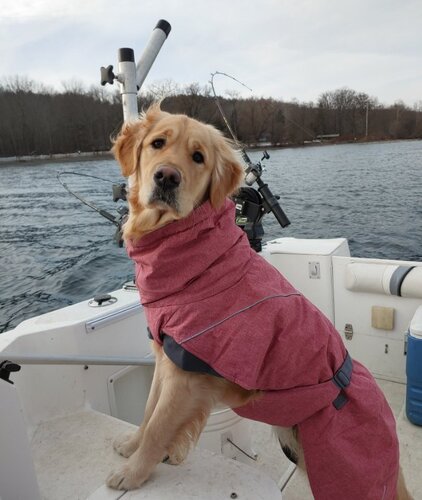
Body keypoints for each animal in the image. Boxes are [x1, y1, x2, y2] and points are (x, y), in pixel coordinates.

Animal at [107, 104, 411, 499]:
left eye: (198, 157)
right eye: (157, 143)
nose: (167, 177)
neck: (199, 260)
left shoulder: (186, 375)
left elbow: (159, 425)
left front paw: (133, 474)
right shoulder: (167, 356)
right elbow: (147, 411)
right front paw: (131, 446)